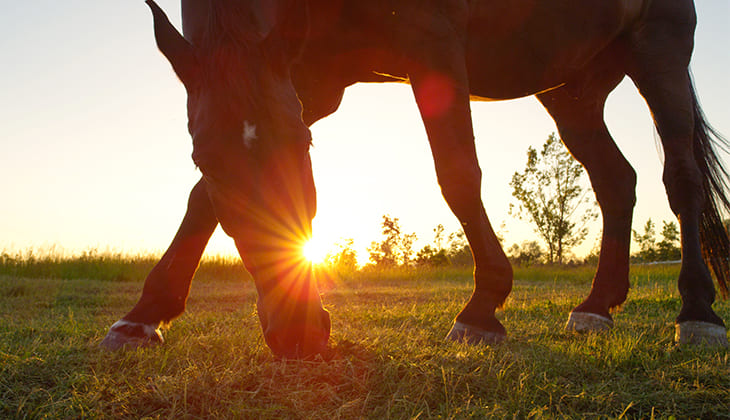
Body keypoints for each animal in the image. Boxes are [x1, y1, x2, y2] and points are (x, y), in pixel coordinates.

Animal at [102, 0, 728, 358]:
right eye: (202, 157)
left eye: (303, 147)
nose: (298, 333)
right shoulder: (308, 78)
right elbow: (201, 202)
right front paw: (142, 316)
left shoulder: (432, 44)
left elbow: (457, 173)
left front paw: (481, 308)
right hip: (571, 88)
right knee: (617, 181)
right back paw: (598, 305)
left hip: (659, 50)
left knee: (681, 180)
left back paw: (697, 311)